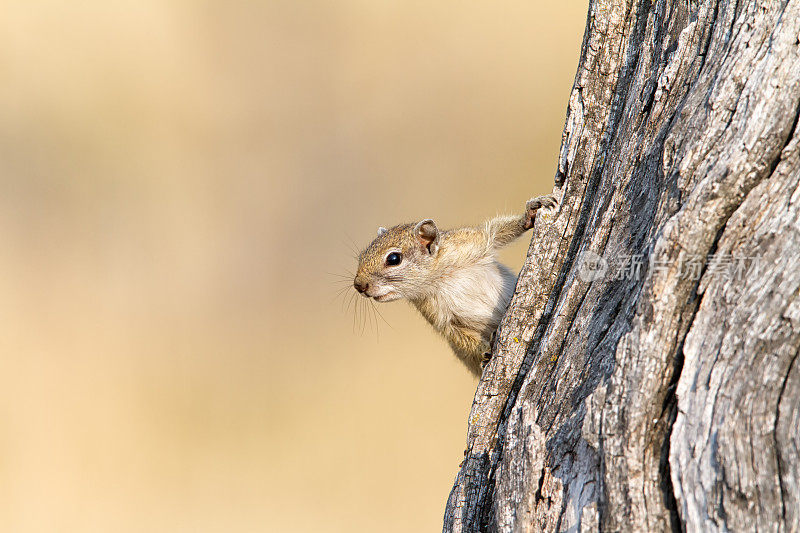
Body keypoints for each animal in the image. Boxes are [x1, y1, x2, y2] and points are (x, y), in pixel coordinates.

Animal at [354, 194, 560, 374]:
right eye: (362, 255)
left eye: (394, 259)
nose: (359, 285)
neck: (441, 277)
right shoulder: (440, 316)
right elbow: (459, 336)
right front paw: (484, 351)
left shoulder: (472, 242)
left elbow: (496, 232)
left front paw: (531, 212)